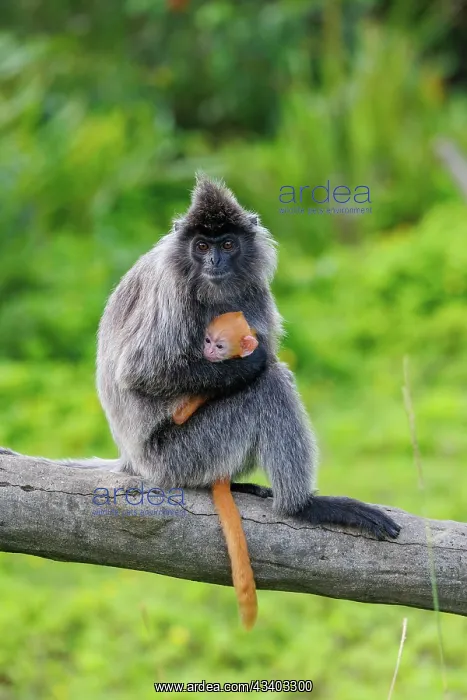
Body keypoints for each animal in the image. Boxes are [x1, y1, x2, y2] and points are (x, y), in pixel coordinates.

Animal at [0, 175, 400, 625]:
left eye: (227, 244)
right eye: (202, 246)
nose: (216, 263)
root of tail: (133, 461)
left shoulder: (255, 293)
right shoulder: (172, 297)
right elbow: (141, 372)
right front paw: (255, 359)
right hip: (181, 456)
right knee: (269, 384)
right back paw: (302, 507)